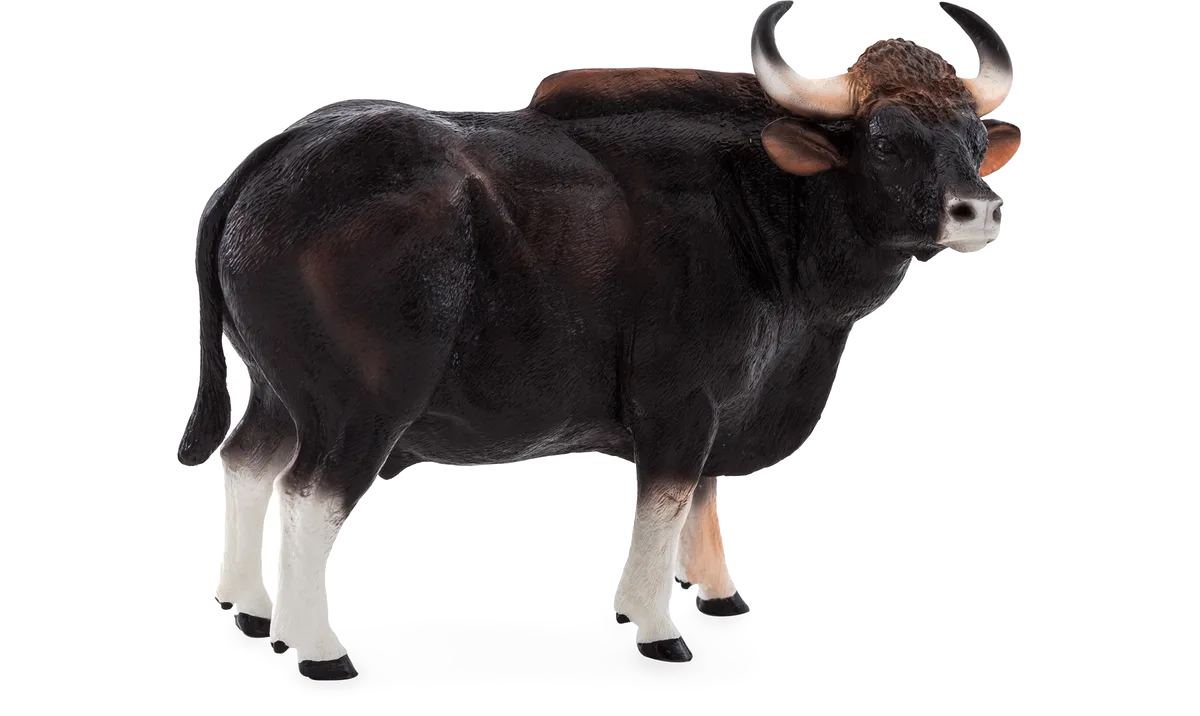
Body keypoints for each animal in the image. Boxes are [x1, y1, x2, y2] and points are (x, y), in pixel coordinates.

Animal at [177, 0, 1021, 680]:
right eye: (886, 142)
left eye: (971, 138)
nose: (978, 210)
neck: (761, 205)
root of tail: (278, 156)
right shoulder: (678, 405)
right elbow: (667, 505)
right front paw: (654, 625)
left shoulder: (722, 404)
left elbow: (704, 500)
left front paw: (716, 591)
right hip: (362, 410)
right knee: (307, 495)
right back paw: (317, 647)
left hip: (281, 390)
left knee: (247, 461)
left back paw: (250, 606)